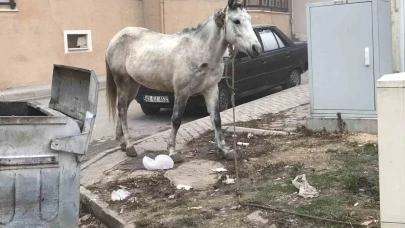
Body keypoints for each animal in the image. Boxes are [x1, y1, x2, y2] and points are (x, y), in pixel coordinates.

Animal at [105, 0, 260, 162]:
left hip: (133, 85)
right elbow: (176, 120)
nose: (256, 48)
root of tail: (116, 38)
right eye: (236, 21)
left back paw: (122, 143)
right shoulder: (182, 92)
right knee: (122, 110)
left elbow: (216, 119)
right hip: (122, 82)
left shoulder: (211, 89)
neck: (199, 51)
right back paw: (130, 147)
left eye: (249, 19)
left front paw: (225, 150)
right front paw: (172, 152)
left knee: (122, 109)